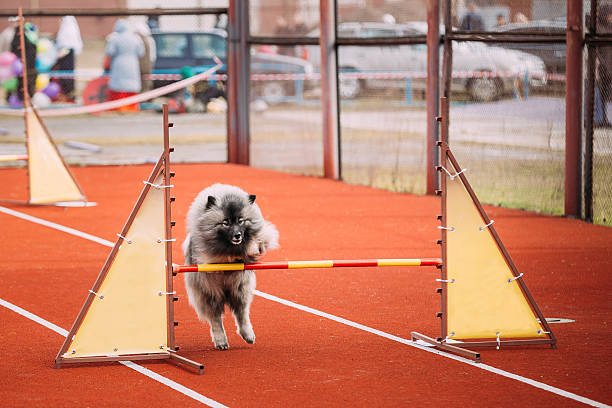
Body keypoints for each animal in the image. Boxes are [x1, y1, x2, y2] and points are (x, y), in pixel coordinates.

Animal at [180, 183, 278, 350]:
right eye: (225, 222)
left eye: (241, 220)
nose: (238, 235)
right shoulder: (209, 255)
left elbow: (254, 243)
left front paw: (250, 247)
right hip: (210, 293)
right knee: (215, 319)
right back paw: (221, 341)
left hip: (240, 289)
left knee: (242, 314)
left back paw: (248, 335)